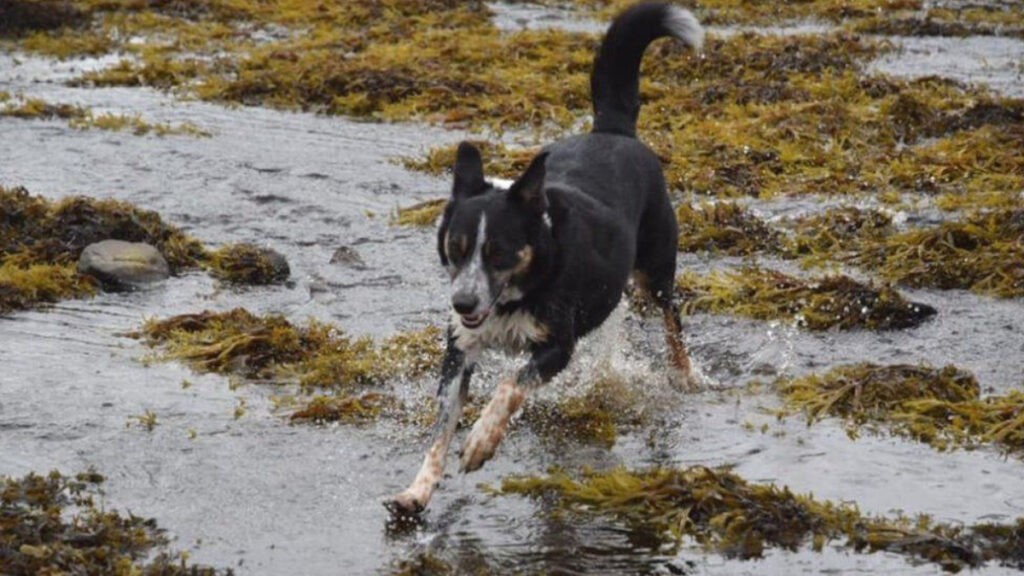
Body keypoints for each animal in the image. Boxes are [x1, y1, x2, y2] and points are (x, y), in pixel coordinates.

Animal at [385, 2, 704, 512]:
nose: (462, 303)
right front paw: (417, 491)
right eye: (455, 249)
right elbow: (439, 430)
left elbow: (509, 386)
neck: (519, 291)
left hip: (654, 269)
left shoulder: (557, 345)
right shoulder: (460, 350)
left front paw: (480, 443)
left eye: (498, 252)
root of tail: (612, 130)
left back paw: (686, 374)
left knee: (672, 316)